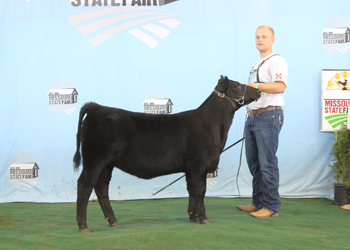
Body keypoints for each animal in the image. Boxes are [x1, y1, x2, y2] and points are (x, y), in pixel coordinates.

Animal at [73, 75, 260, 232]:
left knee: (101, 187)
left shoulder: (189, 168)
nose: (258, 90)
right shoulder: (199, 164)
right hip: (94, 160)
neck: (214, 126)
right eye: (236, 85)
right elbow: (200, 190)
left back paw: (113, 221)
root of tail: (97, 108)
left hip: (107, 164)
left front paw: (193, 216)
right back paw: (83, 226)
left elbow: (191, 190)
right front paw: (204, 218)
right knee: (85, 185)